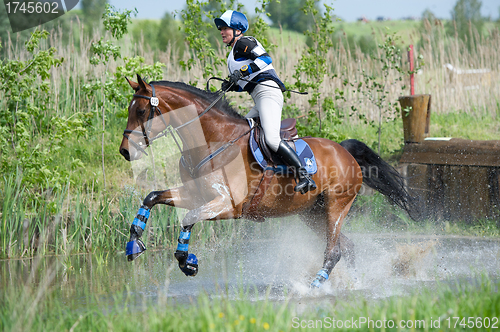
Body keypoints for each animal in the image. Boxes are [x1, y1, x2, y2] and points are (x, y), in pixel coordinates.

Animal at [119, 74, 416, 286]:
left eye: (142, 111)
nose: (125, 151)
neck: (212, 140)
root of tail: (344, 150)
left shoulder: (229, 206)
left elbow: (189, 217)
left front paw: (186, 261)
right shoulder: (197, 195)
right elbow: (152, 197)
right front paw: (134, 243)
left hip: (336, 205)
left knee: (334, 252)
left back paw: (313, 287)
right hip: (312, 213)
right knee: (348, 247)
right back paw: (354, 284)